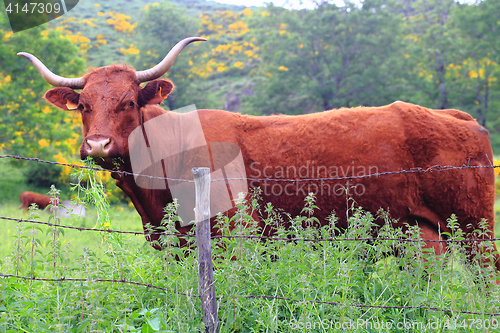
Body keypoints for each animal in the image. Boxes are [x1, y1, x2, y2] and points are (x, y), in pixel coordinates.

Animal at [17, 37, 498, 270]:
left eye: (130, 102)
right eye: (84, 105)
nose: (98, 145)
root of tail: (451, 115)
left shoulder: (235, 237)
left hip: (474, 228)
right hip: (426, 231)